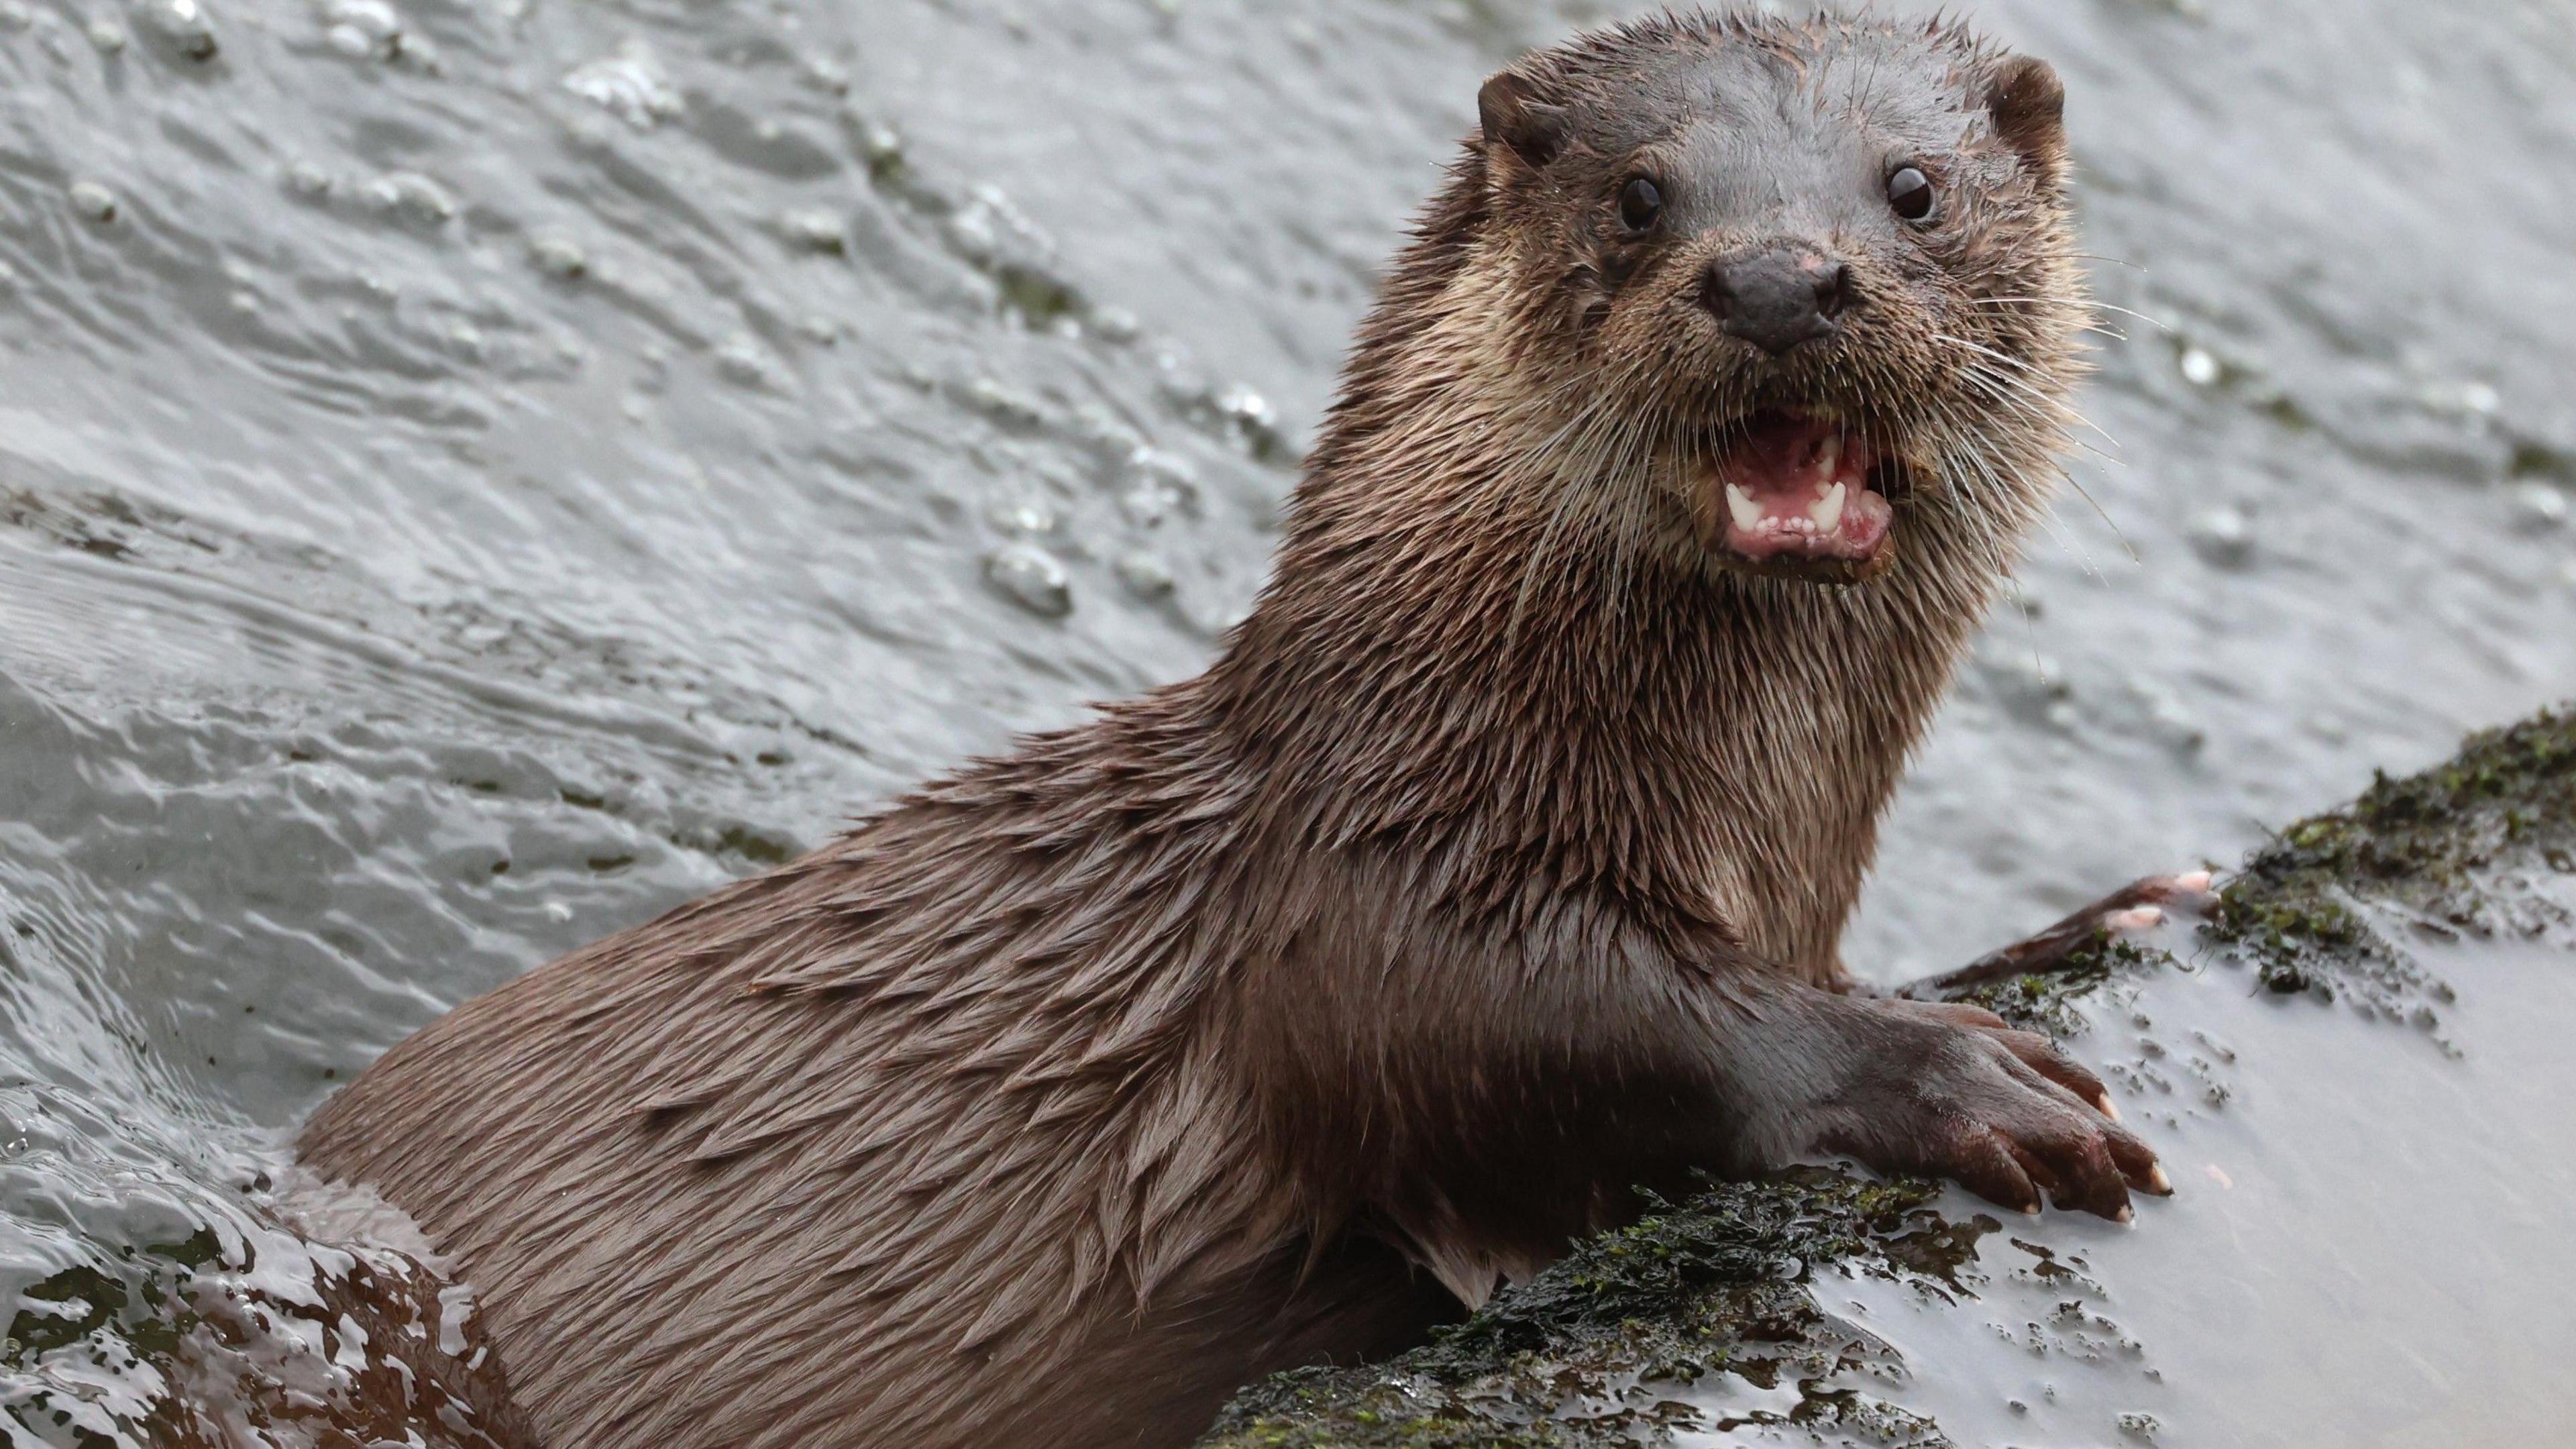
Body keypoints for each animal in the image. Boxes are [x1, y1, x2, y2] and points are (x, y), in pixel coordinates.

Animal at [311, 14, 2184, 1444]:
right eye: (1642, 195)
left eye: (1912, 189)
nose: (1783, 278)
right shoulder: (1377, 893)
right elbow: (1582, 1031)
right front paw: (1964, 1074)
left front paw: (2106, 914)